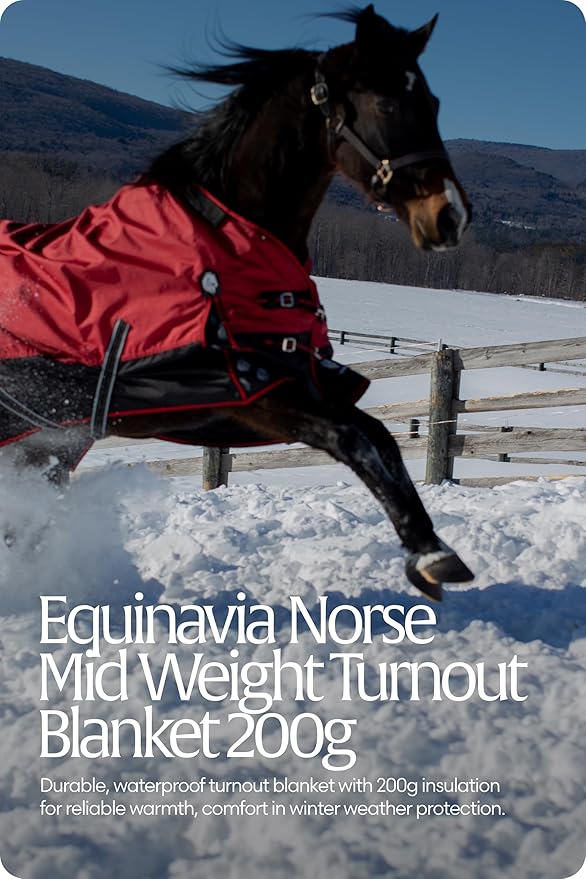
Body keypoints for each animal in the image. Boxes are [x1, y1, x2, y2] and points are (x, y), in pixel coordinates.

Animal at [0, 4, 473, 601]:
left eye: (433, 102)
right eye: (387, 103)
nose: (450, 216)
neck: (225, 243)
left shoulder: (296, 384)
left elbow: (382, 438)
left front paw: (431, 551)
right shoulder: (250, 396)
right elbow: (353, 439)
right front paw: (433, 556)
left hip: (48, 440)